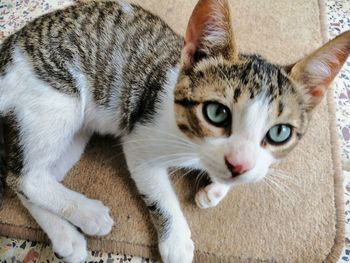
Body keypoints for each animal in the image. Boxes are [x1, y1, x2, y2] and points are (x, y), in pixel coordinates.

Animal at [0, 0, 350, 262]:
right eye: (216, 113)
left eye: (279, 134)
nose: (237, 165)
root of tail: (10, 45)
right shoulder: (139, 140)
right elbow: (161, 196)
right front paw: (177, 242)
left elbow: (253, 171)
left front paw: (216, 190)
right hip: (57, 100)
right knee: (26, 177)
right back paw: (89, 214)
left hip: (74, 132)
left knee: (27, 177)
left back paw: (67, 237)